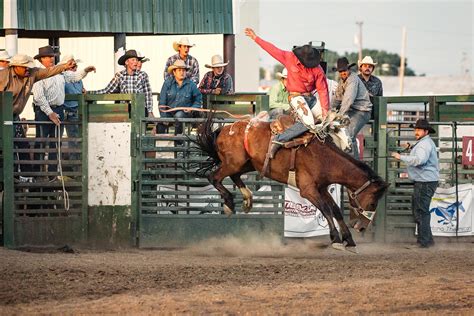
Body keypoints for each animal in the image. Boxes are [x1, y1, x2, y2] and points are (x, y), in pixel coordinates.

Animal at [193, 113, 388, 252]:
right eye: (372, 202)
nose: (361, 228)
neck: (324, 158)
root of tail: (224, 129)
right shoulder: (308, 190)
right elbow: (326, 210)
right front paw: (336, 238)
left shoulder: (322, 188)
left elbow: (336, 210)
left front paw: (349, 240)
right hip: (234, 163)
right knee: (213, 177)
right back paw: (229, 204)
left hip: (245, 163)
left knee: (234, 176)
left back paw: (247, 199)